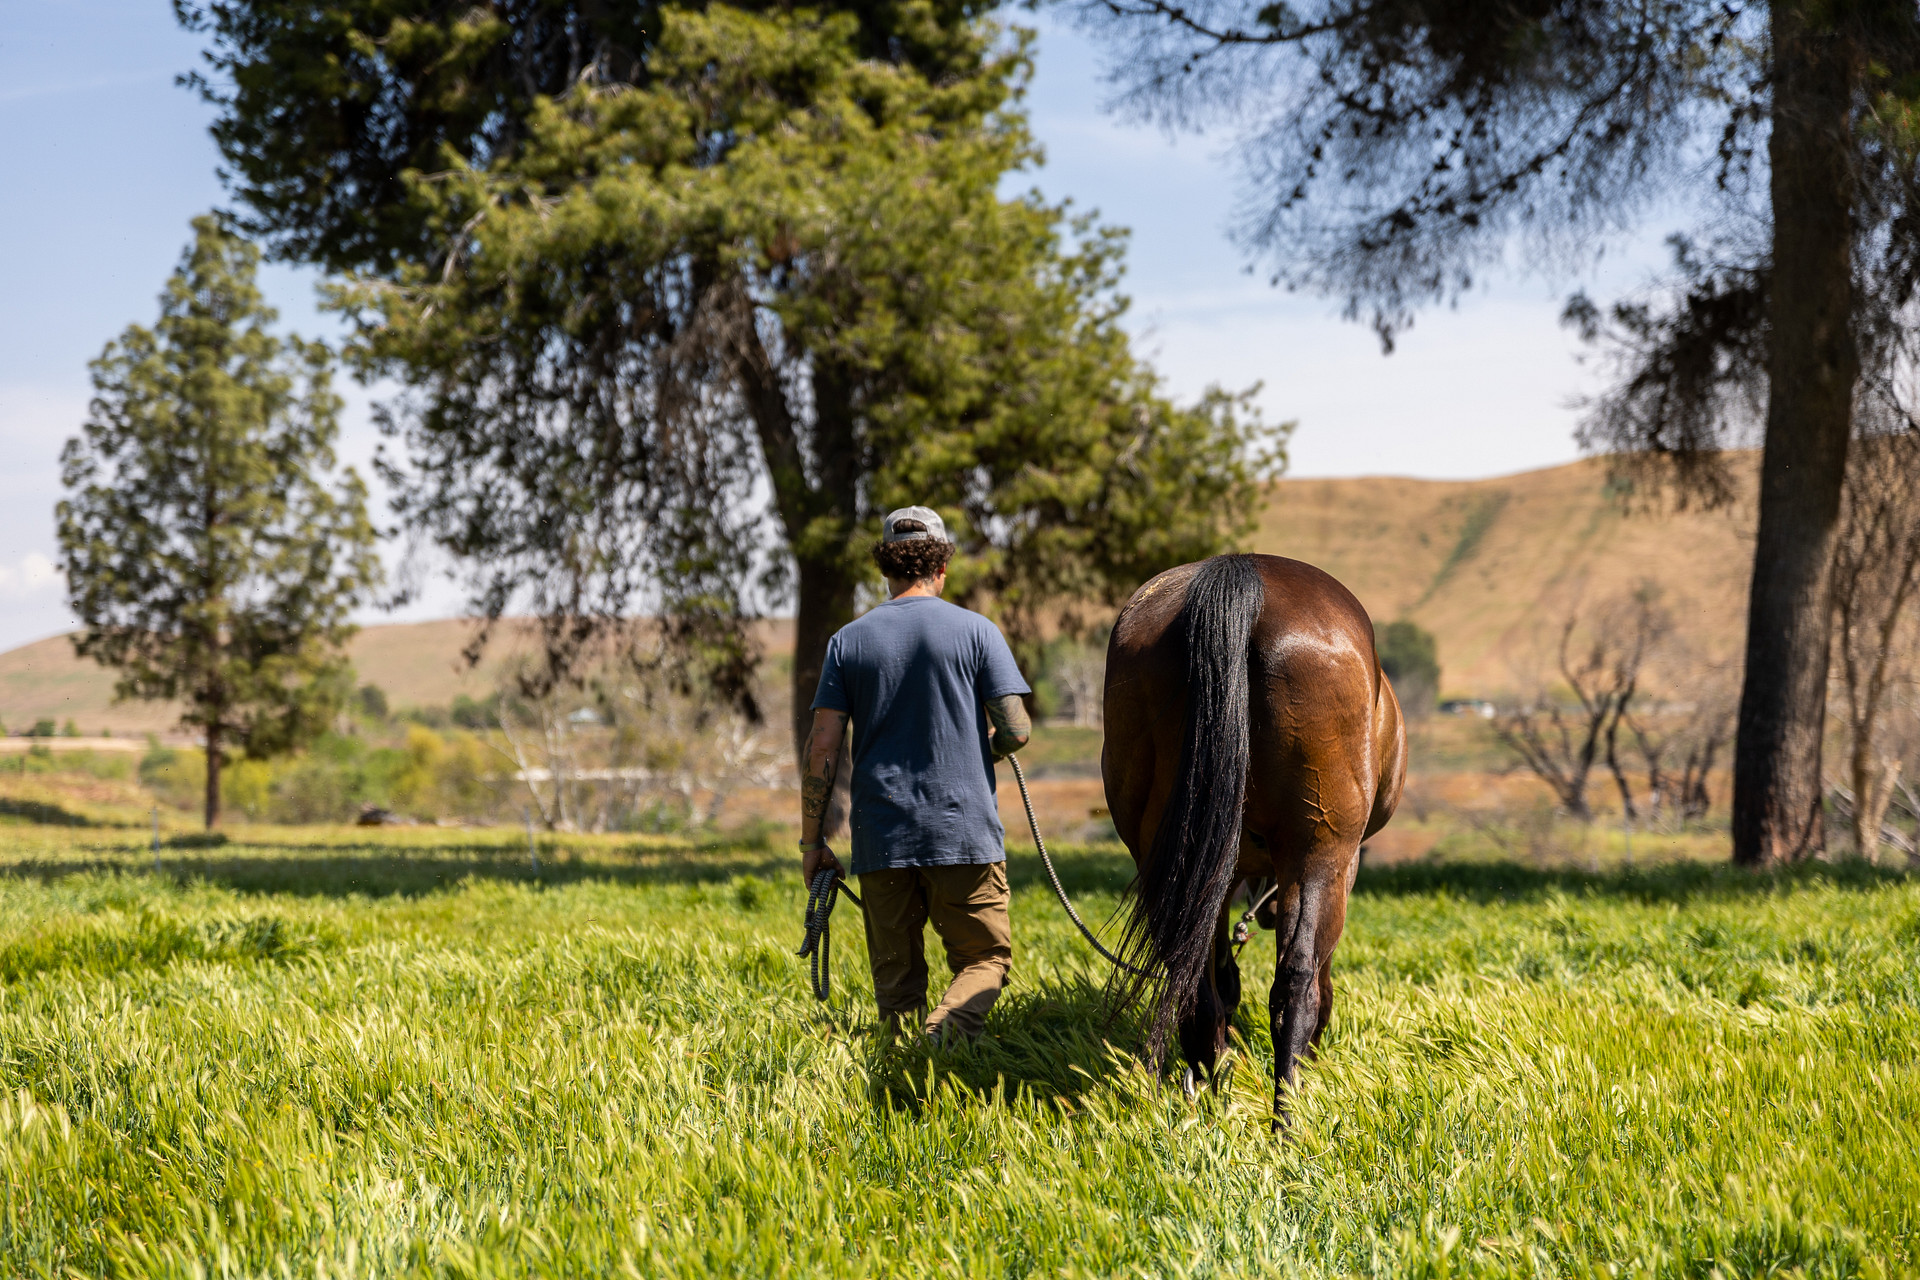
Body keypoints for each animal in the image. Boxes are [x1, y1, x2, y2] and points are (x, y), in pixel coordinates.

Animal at [1102, 552, 1406, 1126]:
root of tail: (1241, 573)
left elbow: (1220, 975)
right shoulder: (1341, 866)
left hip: (1167, 855)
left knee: (1194, 978)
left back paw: (1209, 1087)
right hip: (1320, 849)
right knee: (1297, 978)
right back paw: (1287, 1115)